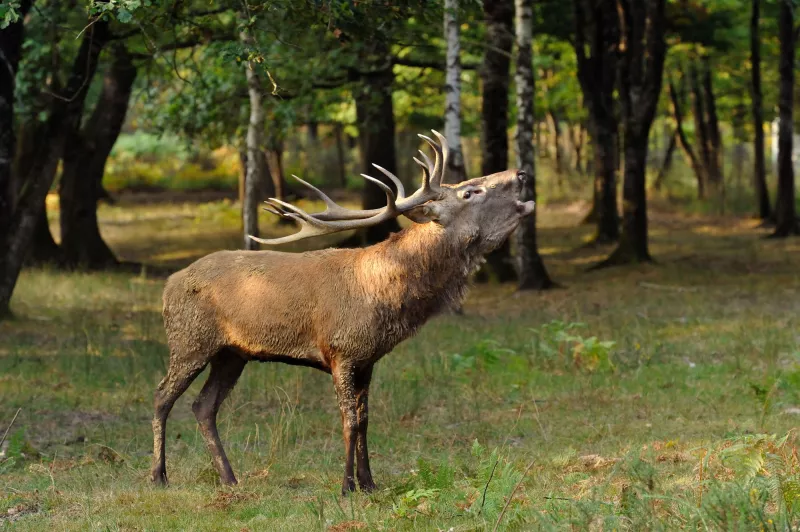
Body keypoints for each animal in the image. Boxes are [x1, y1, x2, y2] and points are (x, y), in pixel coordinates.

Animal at [150, 131, 535, 494]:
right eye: (470, 192)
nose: (521, 173)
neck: (387, 299)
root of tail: (169, 284)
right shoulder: (341, 351)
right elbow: (349, 420)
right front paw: (346, 486)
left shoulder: (367, 360)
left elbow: (364, 420)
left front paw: (369, 483)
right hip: (189, 341)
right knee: (161, 396)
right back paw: (158, 475)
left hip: (232, 354)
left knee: (203, 406)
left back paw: (229, 478)